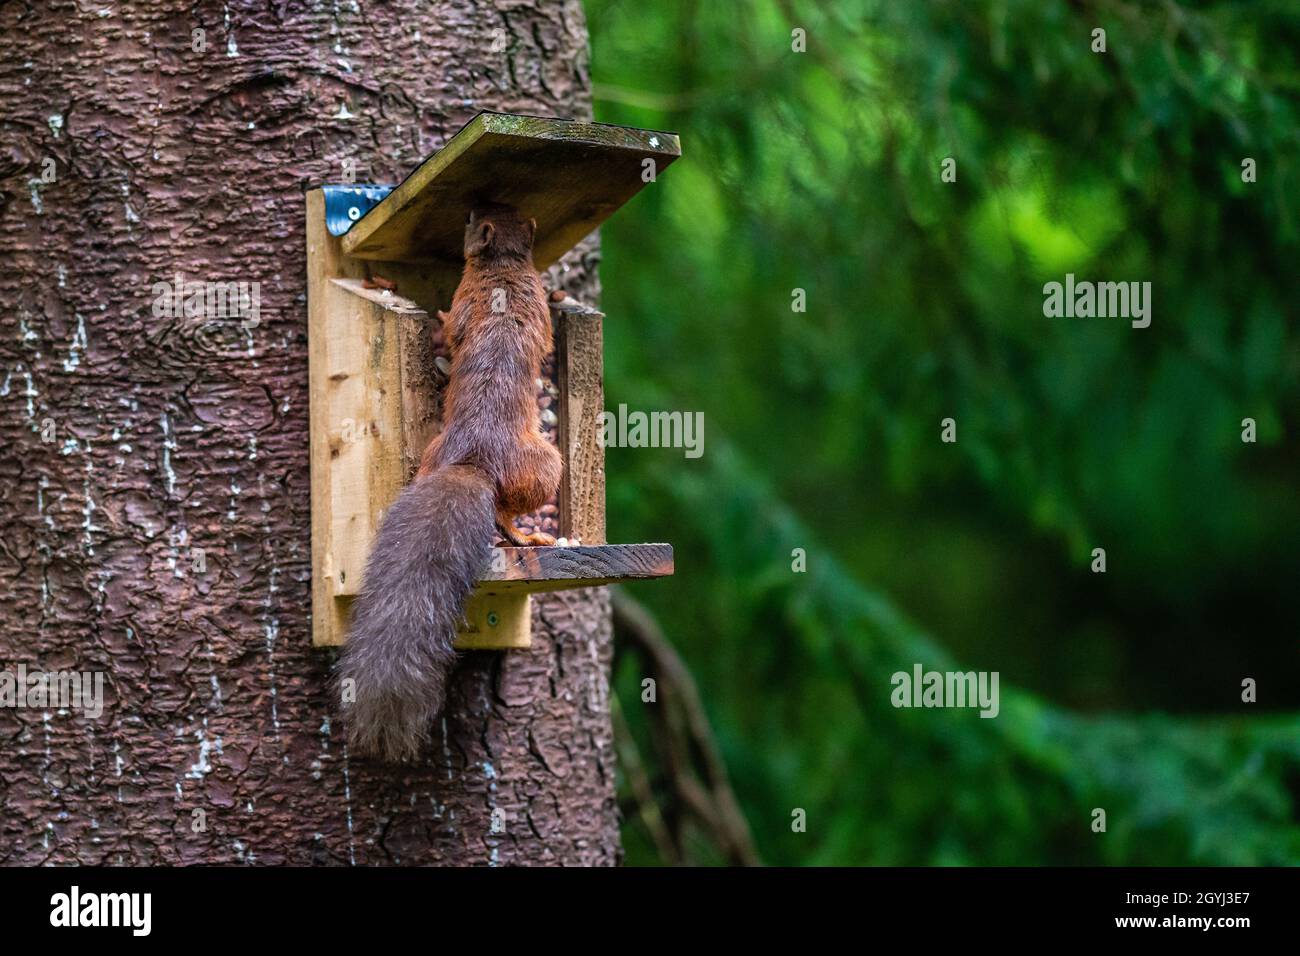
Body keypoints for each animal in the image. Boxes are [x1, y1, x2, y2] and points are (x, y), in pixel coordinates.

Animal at [336, 203, 563, 761]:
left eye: (474, 217)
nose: (471, 207)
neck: (504, 263)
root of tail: (473, 463)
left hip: (445, 456)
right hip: (544, 464)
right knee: (504, 514)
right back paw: (525, 534)